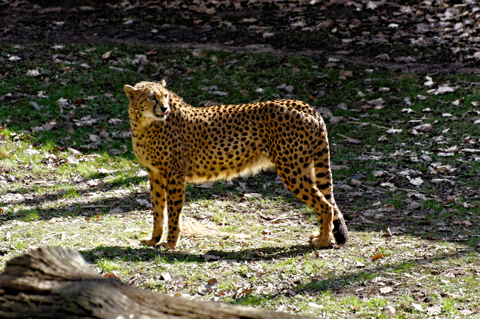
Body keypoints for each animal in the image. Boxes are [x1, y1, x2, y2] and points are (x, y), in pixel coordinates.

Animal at [124, 80, 348, 250]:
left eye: (165, 96)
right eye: (151, 97)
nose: (165, 108)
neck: (145, 125)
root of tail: (304, 104)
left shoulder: (174, 176)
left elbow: (173, 213)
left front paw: (170, 244)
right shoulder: (155, 174)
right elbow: (157, 211)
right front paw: (153, 239)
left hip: (292, 170)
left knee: (326, 206)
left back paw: (322, 242)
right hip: (304, 167)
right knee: (325, 202)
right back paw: (320, 237)